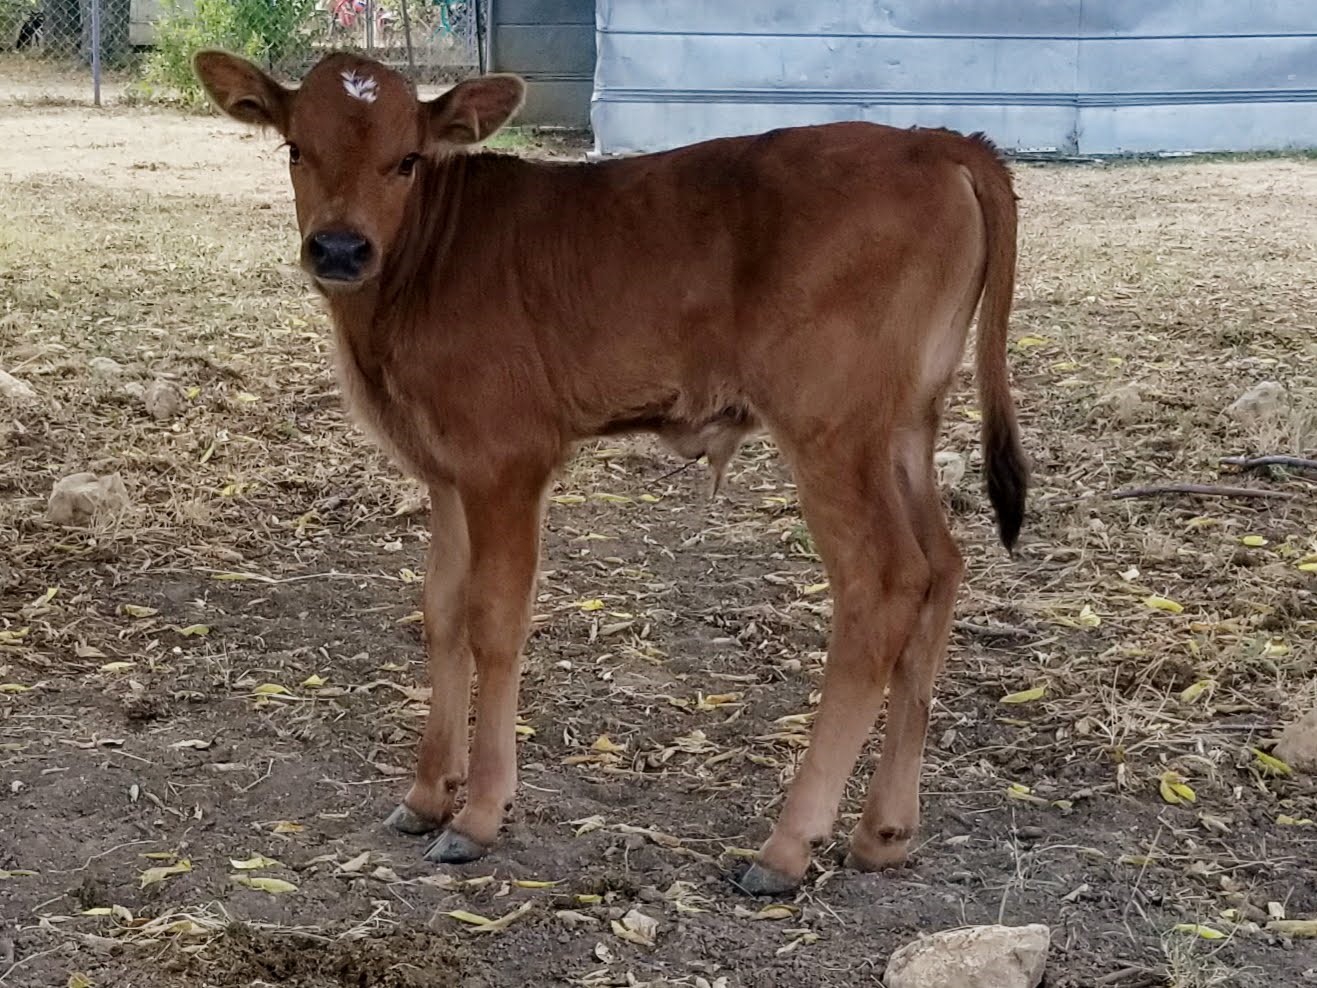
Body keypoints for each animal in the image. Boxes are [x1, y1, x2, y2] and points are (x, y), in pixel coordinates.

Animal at [192, 50, 1027, 895]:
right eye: (296, 148)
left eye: (407, 159)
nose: (339, 249)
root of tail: (935, 141)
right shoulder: (445, 472)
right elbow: (441, 613)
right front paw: (427, 794)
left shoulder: (506, 461)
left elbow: (494, 620)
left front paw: (478, 815)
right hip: (904, 428)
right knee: (940, 568)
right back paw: (883, 831)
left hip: (831, 428)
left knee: (883, 586)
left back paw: (787, 845)